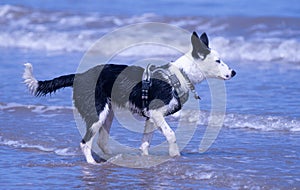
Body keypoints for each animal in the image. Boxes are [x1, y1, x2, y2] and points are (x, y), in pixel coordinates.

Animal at [23, 31, 236, 163]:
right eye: (218, 61)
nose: (233, 72)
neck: (180, 74)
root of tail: (80, 76)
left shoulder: (151, 117)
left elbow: (145, 143)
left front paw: (146, 159)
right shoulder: (156, 113)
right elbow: (171, 134)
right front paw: (175, 156)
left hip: (108, 113)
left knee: (101, 142)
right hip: (97, 114)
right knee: (85, 143)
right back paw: (92, 164)